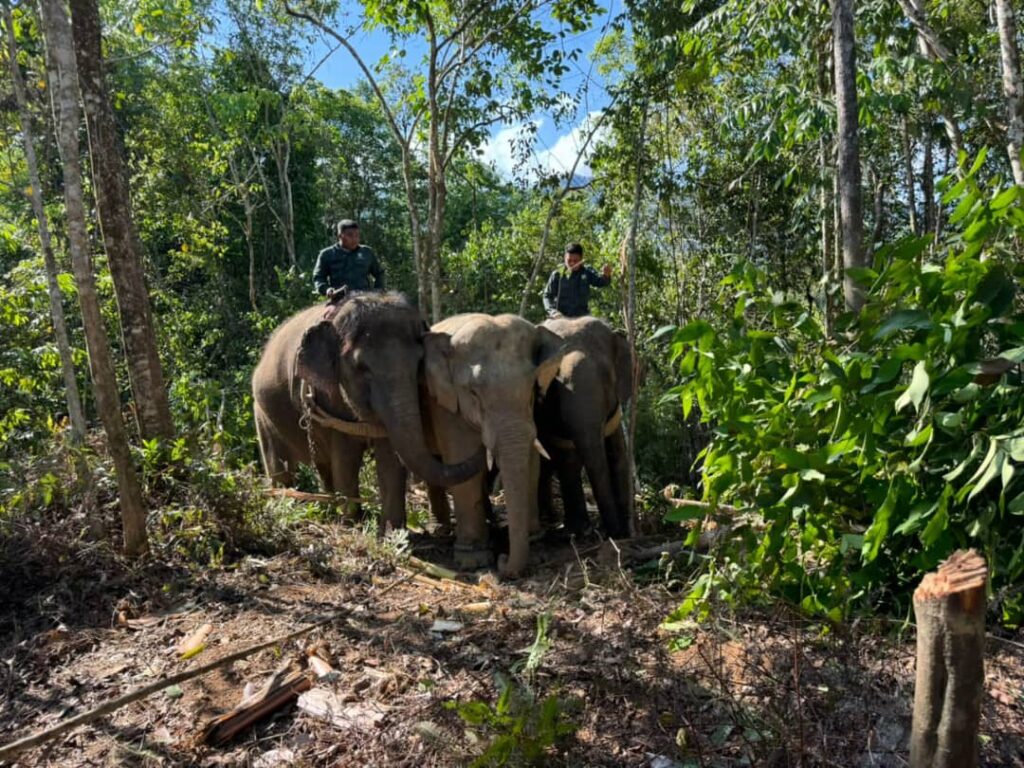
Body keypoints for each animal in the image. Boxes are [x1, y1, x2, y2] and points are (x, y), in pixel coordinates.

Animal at [251, 290, 483, 532]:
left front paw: (391, 532)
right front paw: (353, 525)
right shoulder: (330, 399)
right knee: (280, 465)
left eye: (419, 362)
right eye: (361, 368)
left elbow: (390, 459)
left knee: (323, 465)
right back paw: (288, 506)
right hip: (262, 411)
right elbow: (346, 457)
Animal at [423, 313, 569, 577]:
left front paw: (536, 549)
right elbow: (462, 464)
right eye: (473, 393)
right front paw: (473, 560)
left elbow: (531, 463)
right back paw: (441, 529)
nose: (503, 559)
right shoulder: (445, 406)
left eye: (531, 388)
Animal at [532, 315, 634, 536]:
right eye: (555, 382)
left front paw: (626, 530)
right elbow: (568, 459)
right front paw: (581, 530)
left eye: (606, 376)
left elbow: (618, 456)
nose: (612, 534)